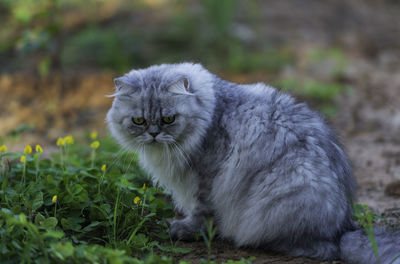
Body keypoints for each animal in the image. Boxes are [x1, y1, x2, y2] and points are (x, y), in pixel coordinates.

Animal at [106, 63, 400, 262]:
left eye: (169, 119)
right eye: (139, 121)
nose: (154, 134)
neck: (210, 112)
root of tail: (345, 227)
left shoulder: (206, 178)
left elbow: (202, 212)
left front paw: (187, 230)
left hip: (288, 189)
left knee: (321, 248)